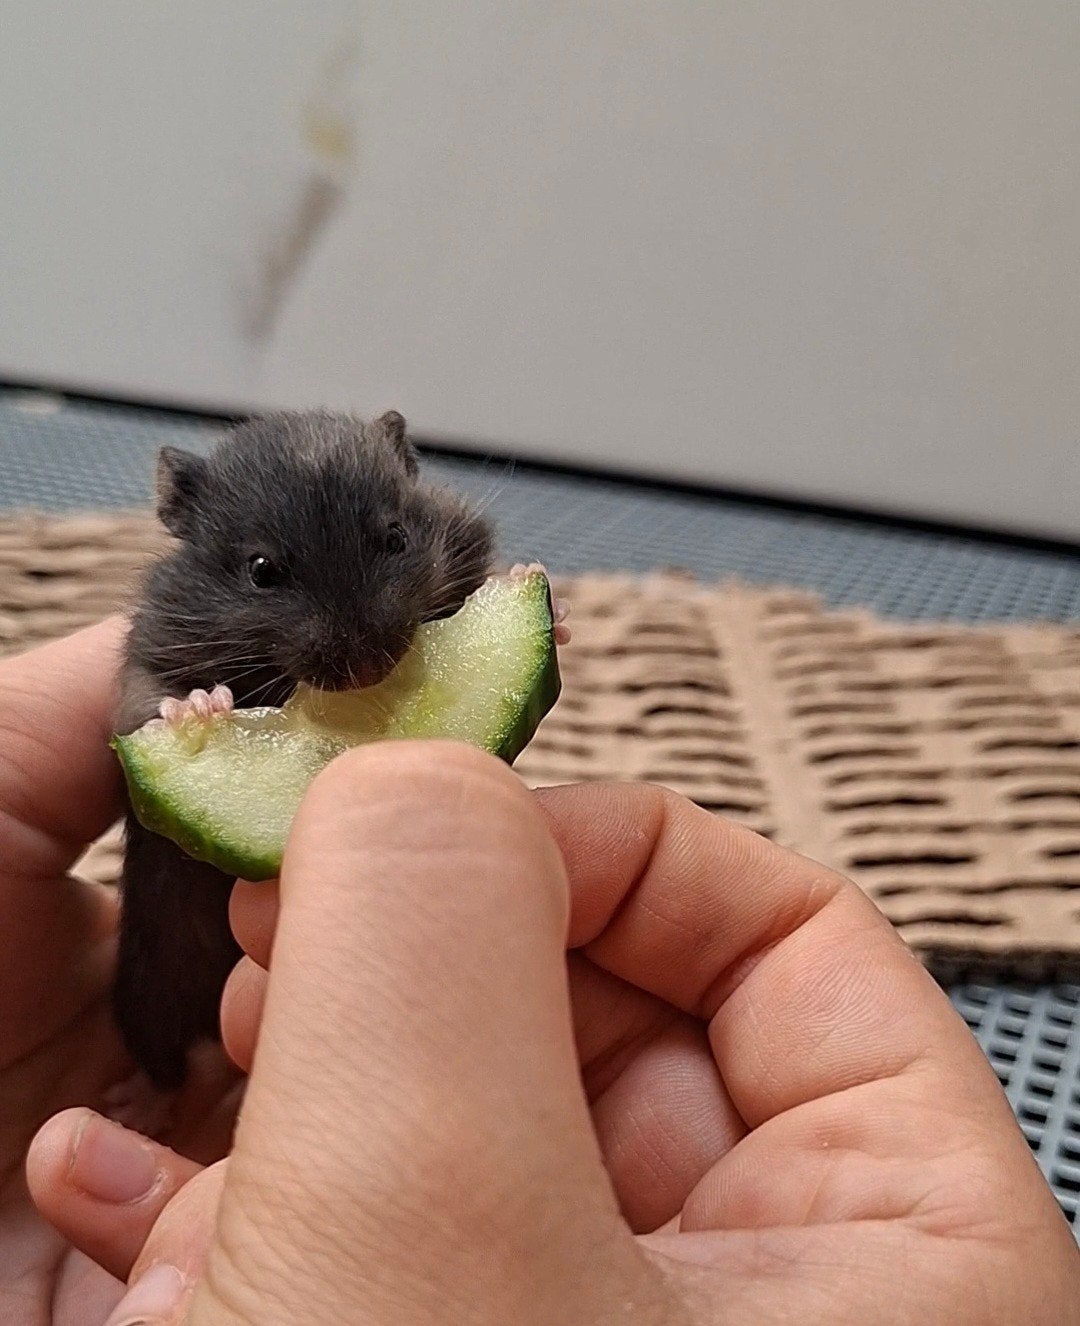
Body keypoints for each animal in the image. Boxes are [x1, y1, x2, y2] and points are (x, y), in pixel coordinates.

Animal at [112, 410, 494, 1098]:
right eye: (262, 571)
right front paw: (199, 708)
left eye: (396, 537)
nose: (369, 671)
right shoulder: (150, 653)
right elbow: (155, 697)